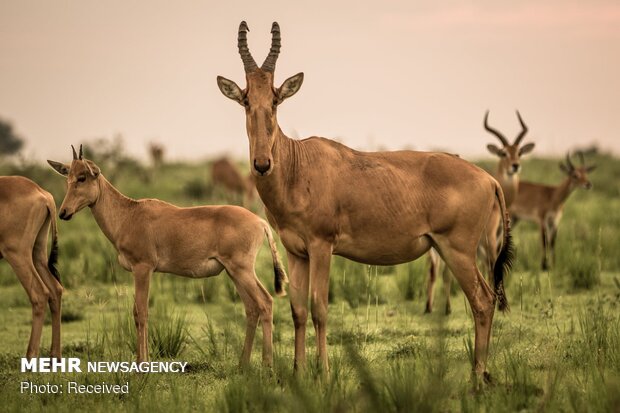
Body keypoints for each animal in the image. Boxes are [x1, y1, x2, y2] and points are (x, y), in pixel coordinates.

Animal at [0, 174, 61, 358]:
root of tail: (41, 192)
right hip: (37, 253)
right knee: (56, 290)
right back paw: (55, 357)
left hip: (17, 254)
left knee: (40, 294)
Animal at [47, 145, 288, 364]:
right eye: (68, 177)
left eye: (83, 177)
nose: (64, 212)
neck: (129, 214)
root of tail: (260, 222)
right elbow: (139, 312)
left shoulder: (143, 268)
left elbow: (141, 313)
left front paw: (141, 364)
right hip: (234, 272)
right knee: (252, 308)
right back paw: (242, 365)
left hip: (241, 270)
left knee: (265, 302)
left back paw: (267, 366)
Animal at [218, 20, 512, 380]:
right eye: (246, 99)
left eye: (275, 99)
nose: (262, 164)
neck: (298, 164)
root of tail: (489, 179)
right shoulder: (296, 252)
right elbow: (298, 309)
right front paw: (299, 373)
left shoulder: (322, 246)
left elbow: (320, 307)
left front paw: (324, 372)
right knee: (486, 298)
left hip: (458, 249)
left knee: (482, 300)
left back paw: (476, 378)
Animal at [424, 109, 536, 312]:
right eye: (503, 152)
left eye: (519, 152)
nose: (515, 166)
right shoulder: (490, 239)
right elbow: (491, 265)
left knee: (434, 270)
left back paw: (430, 307)